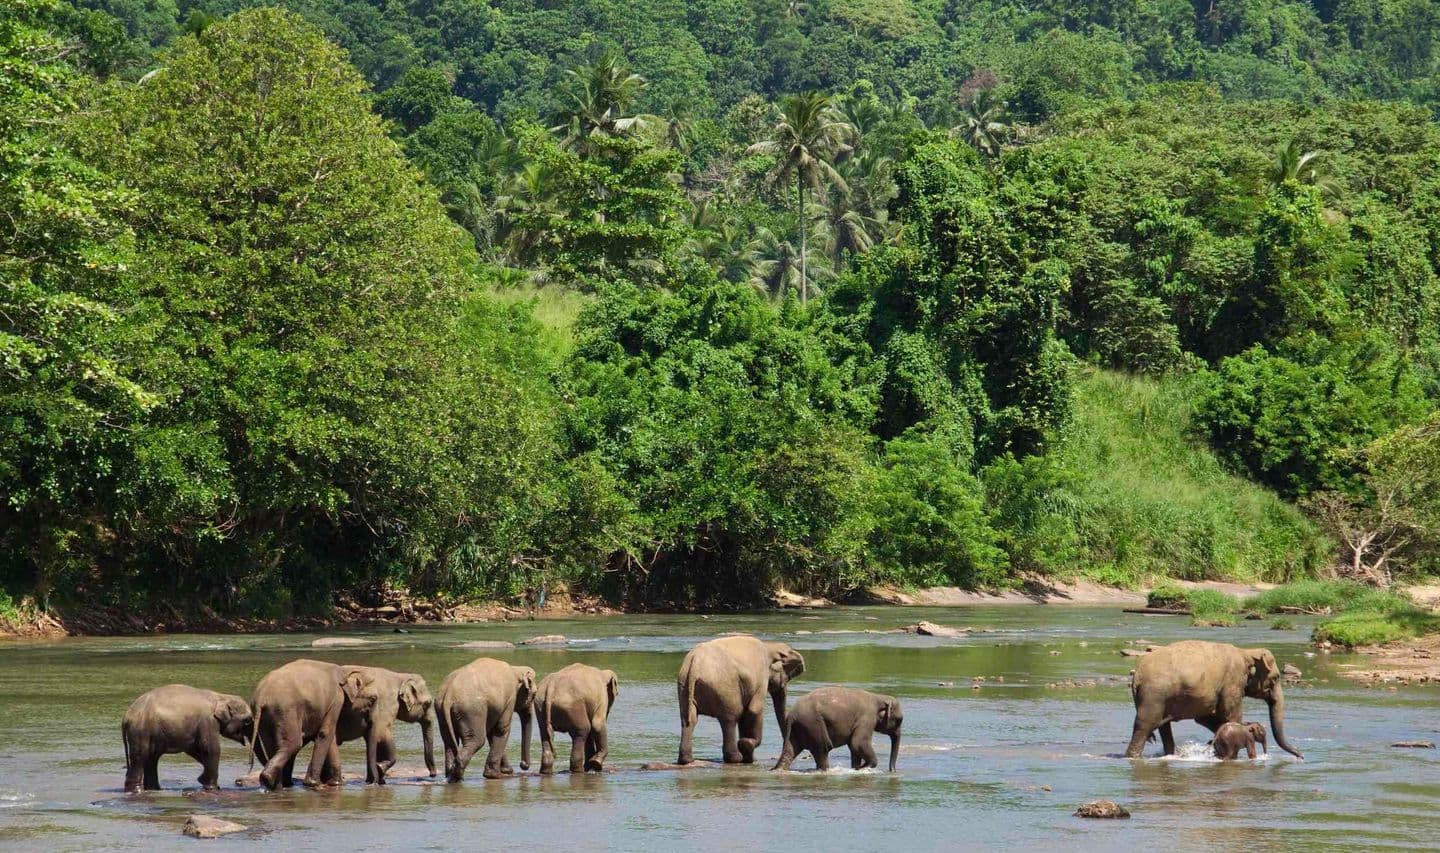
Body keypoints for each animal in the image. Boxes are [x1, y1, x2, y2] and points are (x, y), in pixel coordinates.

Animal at [122, 682, 252, 789]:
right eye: (247, 720)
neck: (220, 696)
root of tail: (126, 716)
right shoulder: (208, 721)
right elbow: (210, 748)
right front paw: (211, 786)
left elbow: (194, 749)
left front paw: (203, 780)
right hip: (140, 730)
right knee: (140, 756)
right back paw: (136, 790)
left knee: (151, 758)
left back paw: (154, 789)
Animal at [247, 659, 383, 795]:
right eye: (373, 699)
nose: (371, 783)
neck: (344, 671)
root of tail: (260, 698)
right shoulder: (337, 699)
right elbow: (326, 732)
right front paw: (315, 783)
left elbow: (328, 736)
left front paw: (334, 783)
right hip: (285, 710)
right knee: (294, 743)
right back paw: (269, 779)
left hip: (267, 718)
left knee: (273, 747)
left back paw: (278, 786)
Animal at [676, 633, 806, 766]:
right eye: (786, 677)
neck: (769, 646)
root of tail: (695, 664)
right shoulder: (761, 675)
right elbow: (754, 709)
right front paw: (747, 748)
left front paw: (748, 754)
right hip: (725, 688)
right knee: (729, 719)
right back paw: (735, 759)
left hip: (684, 685)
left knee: (689, 719)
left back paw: (686, 760)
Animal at [1123, 639, 1307, 760]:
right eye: (1275, 678)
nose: (1301, 756)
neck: (1246, 652)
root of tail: (1136, 676)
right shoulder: (1232, 682)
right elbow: (1231, 715)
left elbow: (1206, 718)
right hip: (1153, 696)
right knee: (1144, 727)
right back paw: (1133, 756)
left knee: (1163, 728)